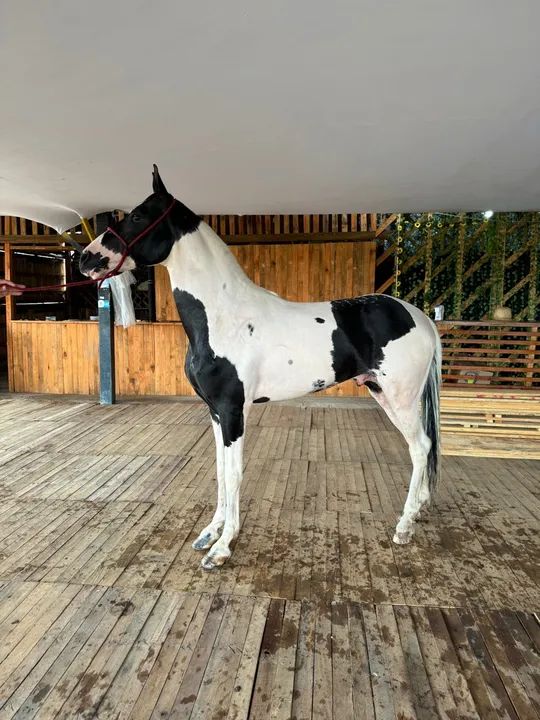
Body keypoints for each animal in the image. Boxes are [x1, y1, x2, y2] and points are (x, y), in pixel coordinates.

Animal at [80, 165, 442, 570]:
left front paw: (222, 547)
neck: (224, 316)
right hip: (384, 393)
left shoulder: (234, 410)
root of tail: (421, 319)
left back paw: (404, 526)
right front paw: (209, 533)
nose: (86, 259)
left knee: (420, 447)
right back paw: (418, 510)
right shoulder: (216, 412)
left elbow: (235, 472)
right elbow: (220, 471)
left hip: (401, 398)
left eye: (139, 216)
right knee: (423, 448)